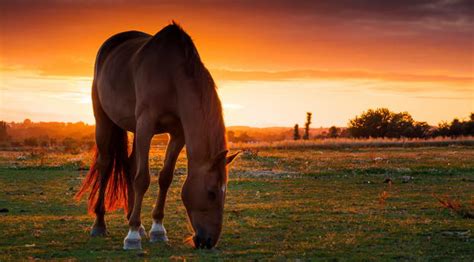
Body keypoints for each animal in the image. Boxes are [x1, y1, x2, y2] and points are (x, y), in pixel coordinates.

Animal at [76, 21, 239, 249]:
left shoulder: (178, 134)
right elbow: (142, 178)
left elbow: (165, 177)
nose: (208, 241)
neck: (171, 76)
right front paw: (132, 236)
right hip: (104, 121)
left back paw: (135, 220)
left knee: (129, 165)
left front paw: (157, 229)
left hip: (134, 129)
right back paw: (100, 224)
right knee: (105, 165)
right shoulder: (146, 125)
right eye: (211, 193)